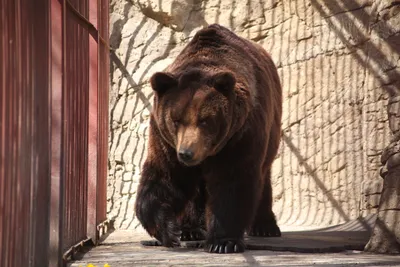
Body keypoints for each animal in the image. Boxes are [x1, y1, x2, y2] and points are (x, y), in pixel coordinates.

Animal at [136, 24, 282, 254]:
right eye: (176, 119)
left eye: (205, 120)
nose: (186, 153)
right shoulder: (164, 140)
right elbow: (165, 178)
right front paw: (170, 231)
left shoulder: (240, 134)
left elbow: (233, 182)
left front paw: (223, 241)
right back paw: (191, 229)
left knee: (263, 175)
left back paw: (266, 226)